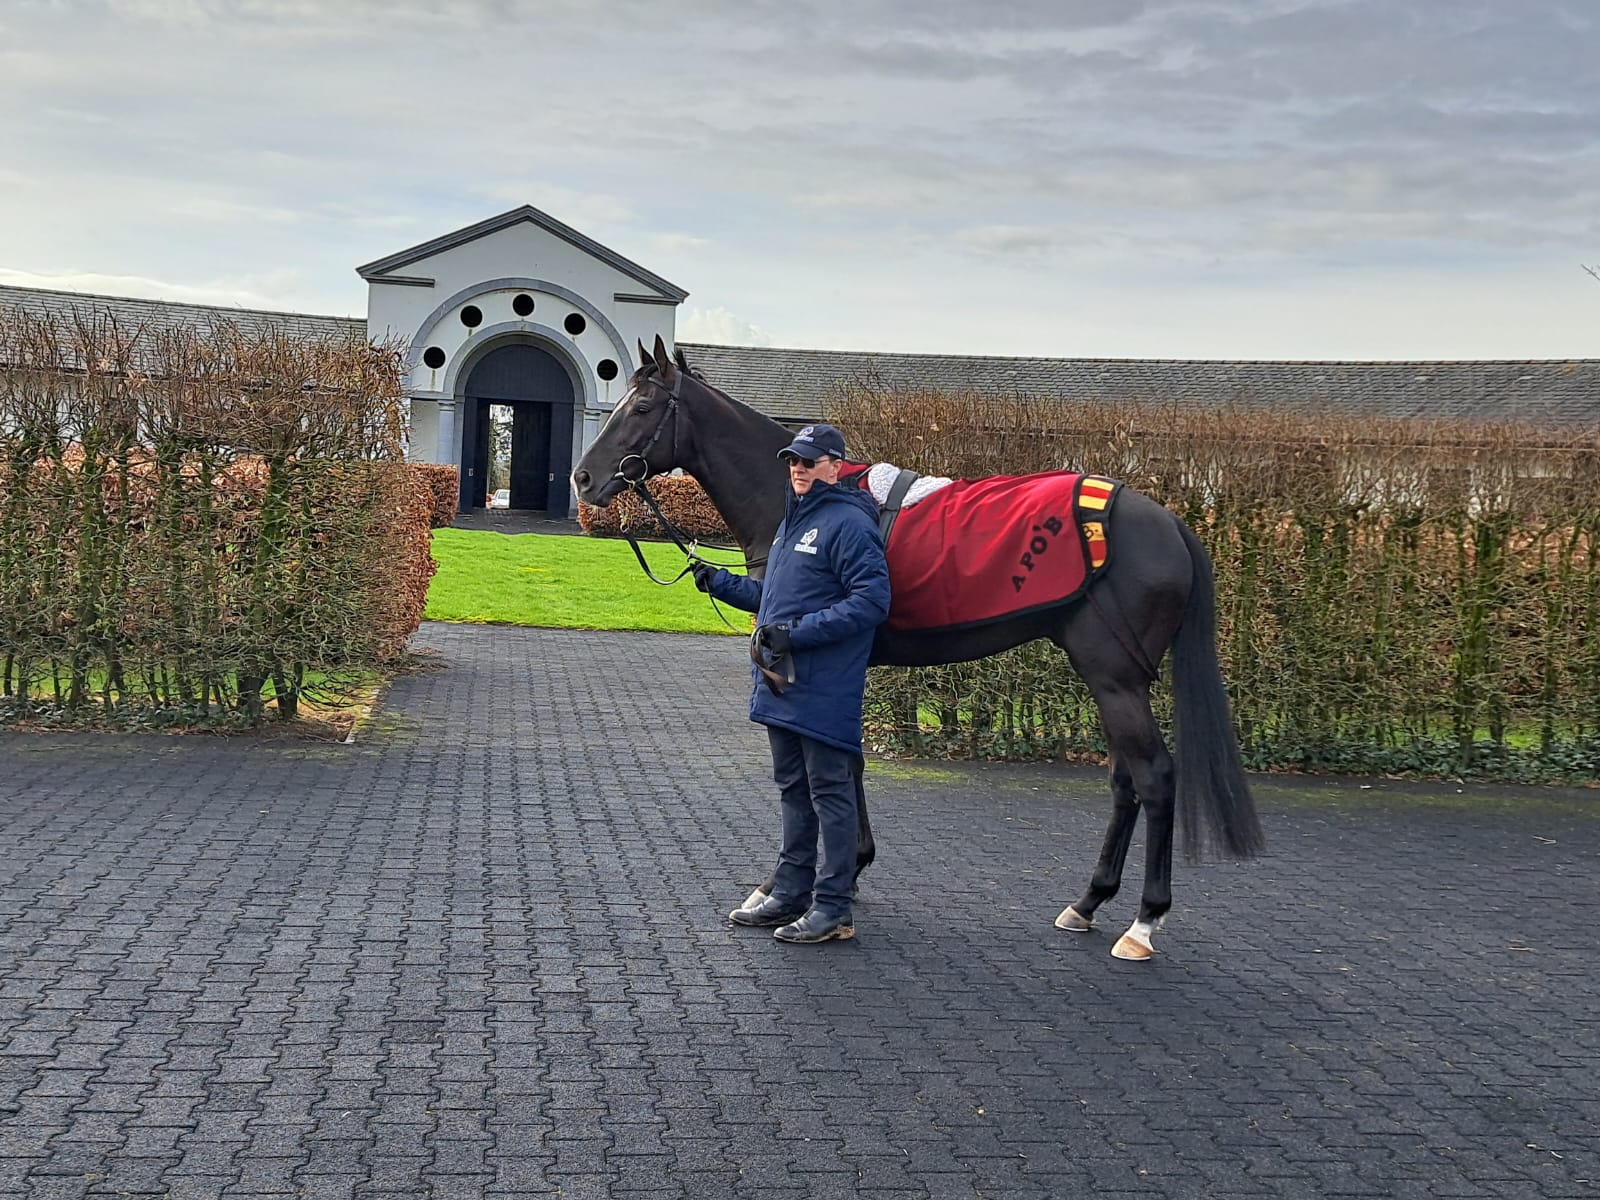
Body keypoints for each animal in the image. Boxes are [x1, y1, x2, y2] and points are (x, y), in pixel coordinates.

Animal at [569, 334, 1254, 966]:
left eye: (643, 406)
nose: (584, 478)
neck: (799, 502)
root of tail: (1169, 523)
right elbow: (848, 761)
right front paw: (845, 872)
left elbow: (838, 763)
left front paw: (833, 878)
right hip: (1112, 677)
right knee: (1124, 780)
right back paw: (1088, 902)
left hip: (1114, 676)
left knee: (1155, 777)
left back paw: (1143, 922)